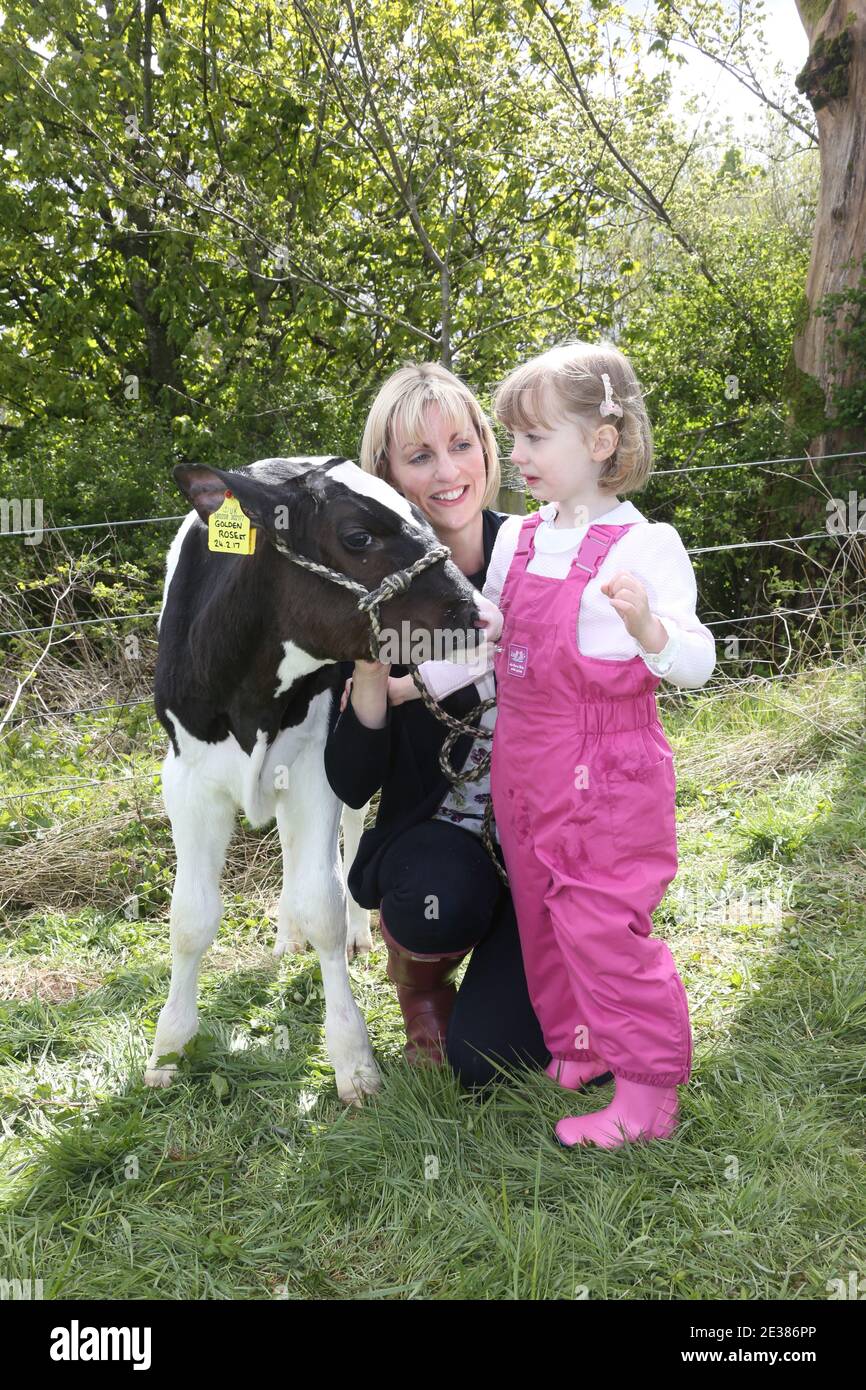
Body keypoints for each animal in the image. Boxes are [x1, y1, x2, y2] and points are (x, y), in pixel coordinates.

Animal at [145, 455, 478, 1106]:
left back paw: (356, 932)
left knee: (345, 830)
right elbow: (190, 918)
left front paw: (353, 1061)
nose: (482, 612)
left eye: (423, 515)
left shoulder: (316, 765)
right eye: (358, 536)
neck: (248, 696)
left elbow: (323, 902)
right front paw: (169, 1047)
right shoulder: (187, 778)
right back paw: (285, 933)